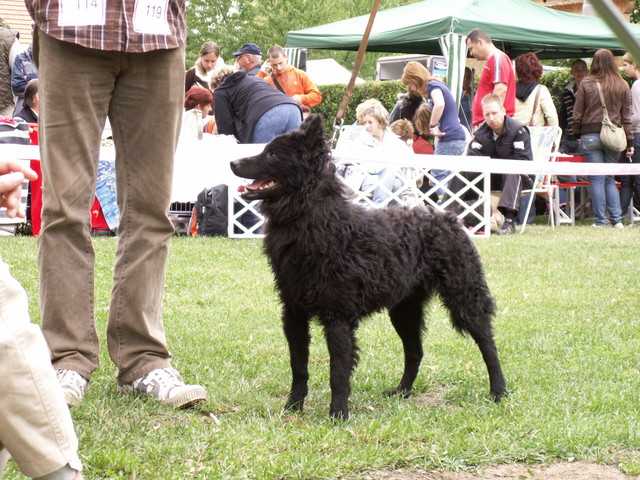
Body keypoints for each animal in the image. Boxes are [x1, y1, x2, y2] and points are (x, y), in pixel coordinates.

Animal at [230, 114, 504, 418]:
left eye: (273, 154)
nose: (233, 163)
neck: (313, 218)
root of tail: (449, 218)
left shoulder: (337, 317)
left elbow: (338, 372)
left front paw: (338, 414)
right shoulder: (294, 313)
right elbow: (298, 367)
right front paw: (292, 407)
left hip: (464, 297)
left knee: (488, 345)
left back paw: (498, 391)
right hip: (404, 310)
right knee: (415, 352)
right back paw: (402, 392)